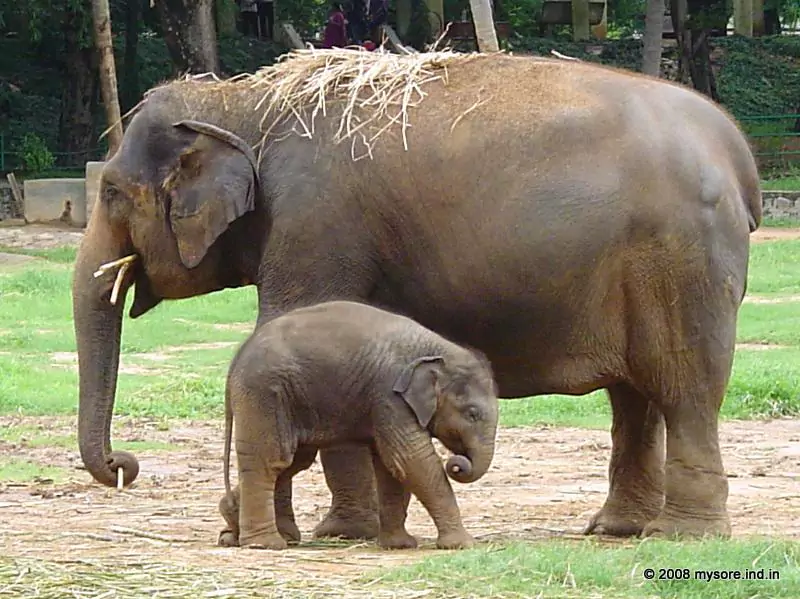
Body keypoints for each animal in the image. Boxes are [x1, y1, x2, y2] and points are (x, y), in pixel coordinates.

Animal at [216, 302, 496, 552]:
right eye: (472, 414)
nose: (457, 464)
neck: (436, 349)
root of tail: (236, 361)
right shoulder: (390, 396)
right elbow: (411, 460)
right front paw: (463, 545)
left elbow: (390, 465)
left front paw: (399, 545)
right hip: (264, 394)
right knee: (270, 461)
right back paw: (265, 544)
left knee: (293, 461)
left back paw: (231, 528)